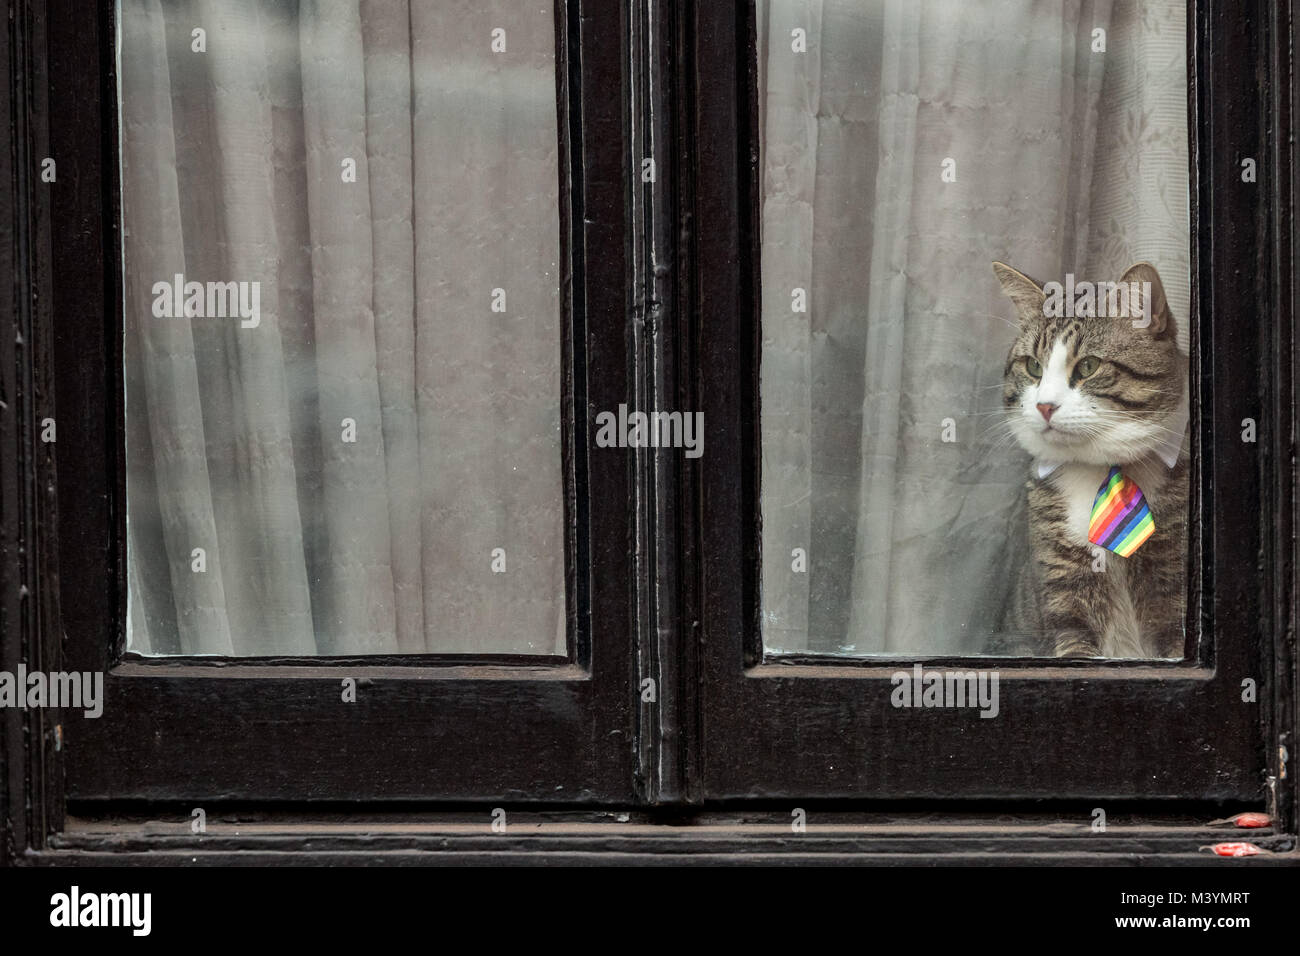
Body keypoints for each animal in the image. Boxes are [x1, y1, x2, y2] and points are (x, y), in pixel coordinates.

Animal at [993, 260, 1190, 658]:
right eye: (1033, 366)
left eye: (1088, 367)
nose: (1044, 405)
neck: (1102, 467)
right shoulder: (1062, 577)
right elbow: (1074, 643)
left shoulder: (1171, 571)